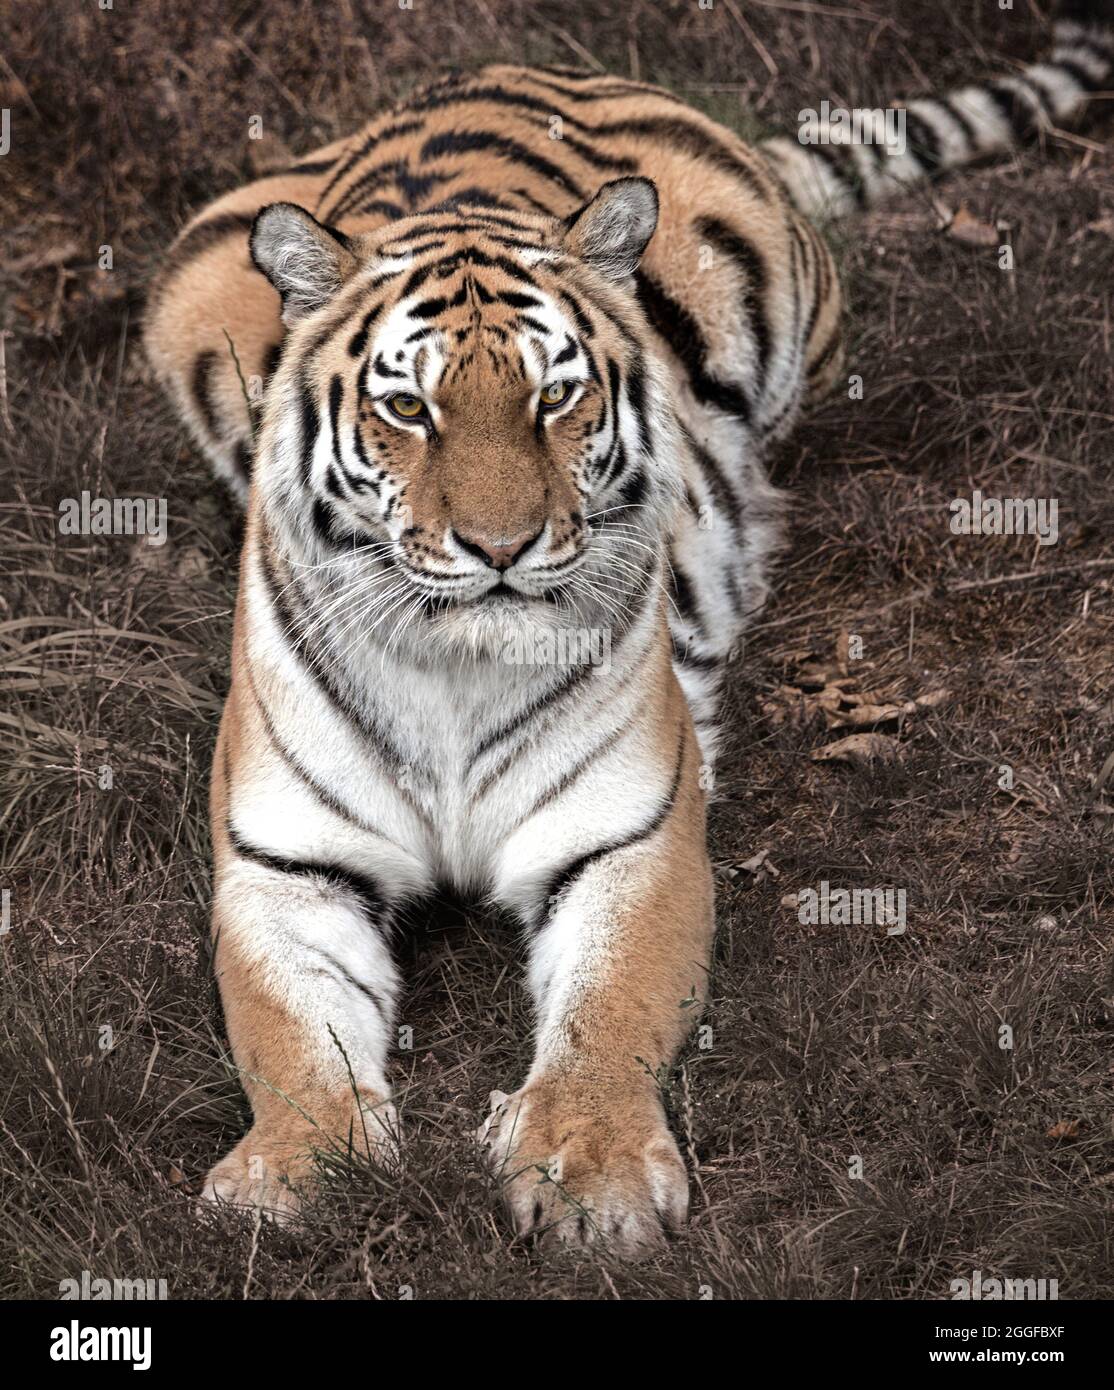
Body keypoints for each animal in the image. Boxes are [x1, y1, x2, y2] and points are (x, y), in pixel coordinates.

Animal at [145, 1, 1113, 1256]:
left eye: (554, 396)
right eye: (408, 407)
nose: (499, 547)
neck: (455, 662)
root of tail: (521, 65)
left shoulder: (629, 838)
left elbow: (609, 1013)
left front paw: (589, 1174)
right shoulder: (283, 862)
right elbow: (288, 1036)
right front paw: (294, 1174)